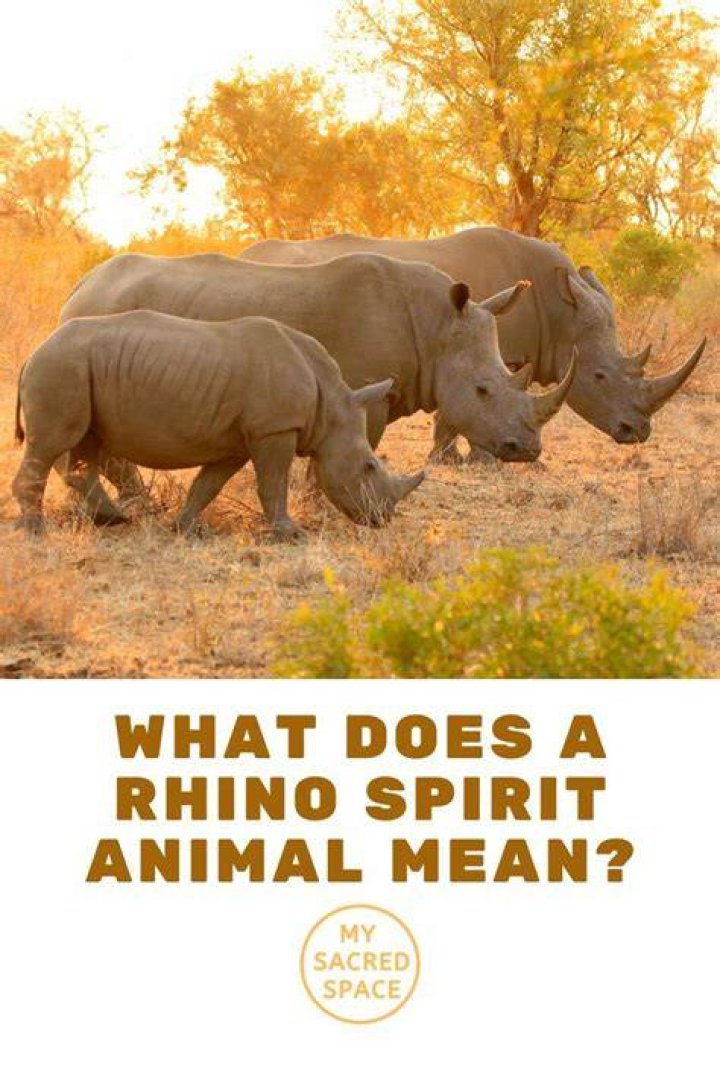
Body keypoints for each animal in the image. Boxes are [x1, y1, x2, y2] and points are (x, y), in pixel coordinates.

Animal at [13, 312, 426, 536]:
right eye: (369, 467)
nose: (384, 518)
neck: (331, 405)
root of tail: (33, 353)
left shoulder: (239, 439)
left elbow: (208, 484)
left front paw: (184, 528)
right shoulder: (274, 429)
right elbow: (273, 483)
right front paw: (290, 534)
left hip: (76, 369)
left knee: (86, 446)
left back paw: (112, 520)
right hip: (62, 366)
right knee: (51, 443)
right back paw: (36, 531)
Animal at [60, 251, 575, 508]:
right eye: (483, 390)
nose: (527, 450)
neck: (435, 326)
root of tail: (80, 283)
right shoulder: (365, 392)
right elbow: (356, 446)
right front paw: (322, 503)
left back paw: (138, 504)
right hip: (101, 317)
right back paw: (136, 506)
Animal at [242, 228, 705, 459]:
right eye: (600, 376)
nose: (637, 433)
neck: (560, 312)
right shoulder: (496, 351)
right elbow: (467, 408)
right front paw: (470, 460)